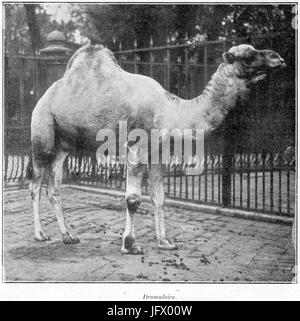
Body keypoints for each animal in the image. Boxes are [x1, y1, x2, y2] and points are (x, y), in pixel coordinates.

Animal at [27, 42, 284, 252]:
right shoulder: (137, 149)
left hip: (64, 145)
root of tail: (44, 96)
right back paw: (40, 235)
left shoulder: (159, 154)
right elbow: (132, 199)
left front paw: (165, 242)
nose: (278, 57)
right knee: (35, 185)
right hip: (42, 134)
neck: (172, 111)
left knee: (54, 188)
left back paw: (68, 236)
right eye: (248, 56)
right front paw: (130, 245)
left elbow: (159, 197)